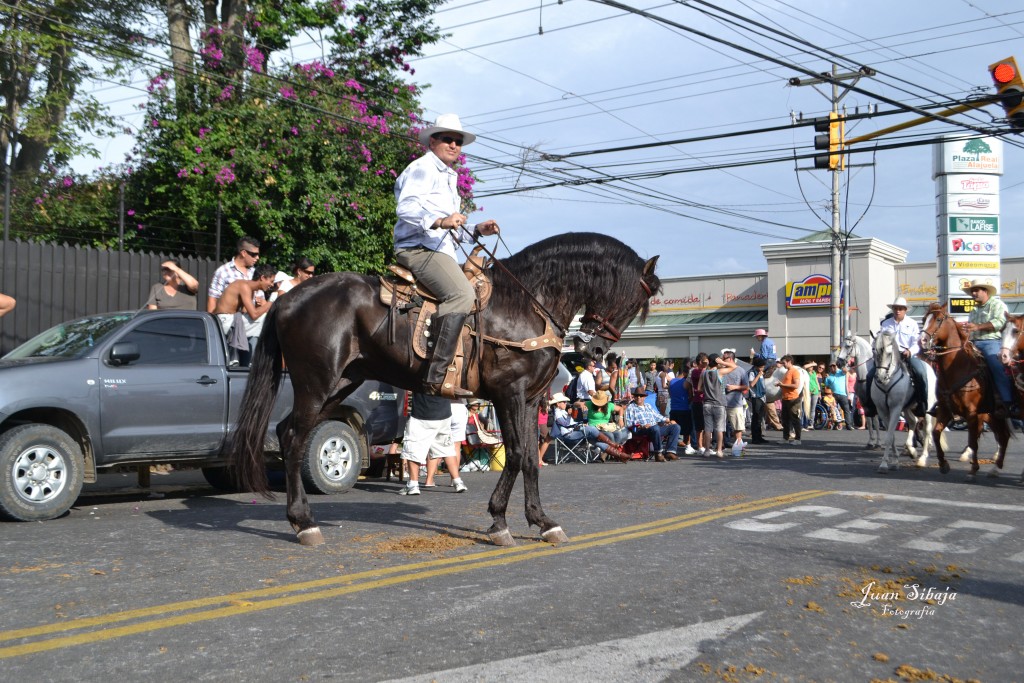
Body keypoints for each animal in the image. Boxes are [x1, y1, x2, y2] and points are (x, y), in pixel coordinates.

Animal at [230, 232, 663, 548]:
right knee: (293, 439)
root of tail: (288, 299)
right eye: (633, 300)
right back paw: (303, 522)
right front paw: (499, 522)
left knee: (288, 433)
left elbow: (530, 459)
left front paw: (542, 521)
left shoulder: (529, 399)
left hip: (340, 383)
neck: (527, 303)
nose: (595, 350)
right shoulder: (508, 393)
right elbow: (517, 455)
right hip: (316, 384)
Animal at [872, 331, 937, 473]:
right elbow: (891, 436)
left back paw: (922, 458)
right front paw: (894, 461)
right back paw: (911, 451)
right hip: (907, 408)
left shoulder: (896, 408)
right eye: (874, 350)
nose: (880, 377)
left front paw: (884, 464)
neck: (887, 382)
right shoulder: (882, 410)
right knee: (913, 422)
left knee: (927, 429)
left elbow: (889, 436)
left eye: (889, 353)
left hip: (927, 409)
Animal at [917, 305, 1011, 481]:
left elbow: (973, 441)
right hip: (992, 416)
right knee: (1003, 436)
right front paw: (943, 464)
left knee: (1000, 436)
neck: (958, 369)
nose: (922, 341)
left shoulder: (972, 413)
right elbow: (936, 433)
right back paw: (995, 468)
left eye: (938, 319)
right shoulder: (945, 410)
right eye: (923, 319)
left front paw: (973, 469)